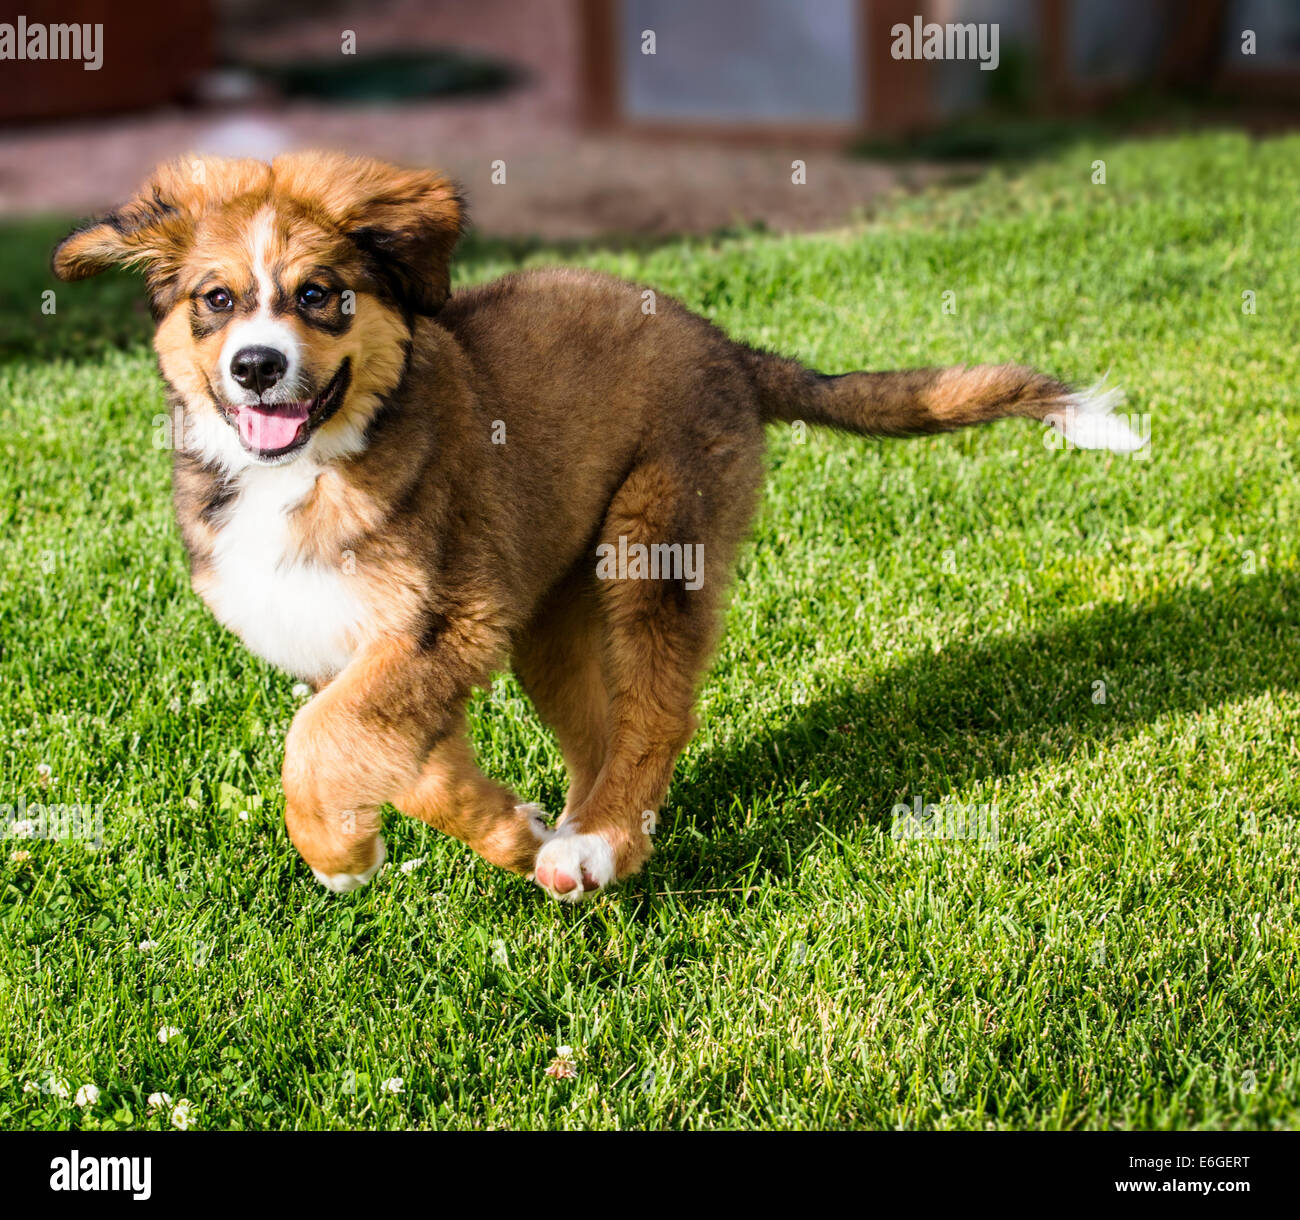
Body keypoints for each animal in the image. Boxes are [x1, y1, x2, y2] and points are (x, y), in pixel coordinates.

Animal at [50, 152, 1138, 900]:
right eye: (216, 300)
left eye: (321, 294)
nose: (257, 367)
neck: (303, 472)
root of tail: (727, 347)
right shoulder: (364, 650)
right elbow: (401, 761)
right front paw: (505, 831)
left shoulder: (442, 621)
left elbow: (318, 741)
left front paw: (337, 852)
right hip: (551, 609)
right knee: (600, 724)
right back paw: (584, 834)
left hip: (653, 540)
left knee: (657, 711)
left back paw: (606, 838)